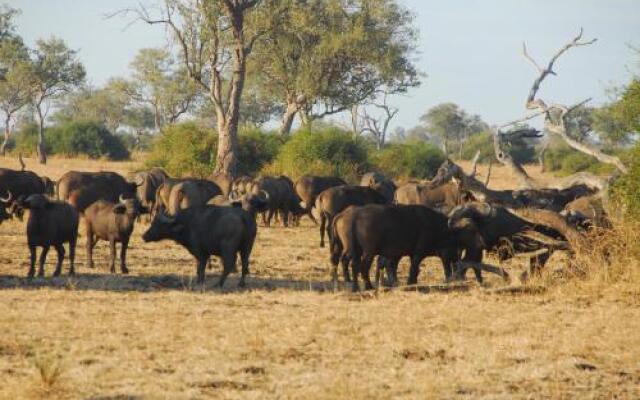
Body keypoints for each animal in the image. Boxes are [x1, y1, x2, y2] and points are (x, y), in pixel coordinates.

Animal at [330, 203, 460, 290]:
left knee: (349, 263)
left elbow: (394, 267)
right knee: (362, 266)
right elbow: (413, 267)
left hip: (351, 249)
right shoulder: (417, 253)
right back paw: (368, 286)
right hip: (368, 251)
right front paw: (410, 282)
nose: (457, 258)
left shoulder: (397, 254)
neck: (435, 227)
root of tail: (353, 216)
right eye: (453, 241)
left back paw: (354, 285)